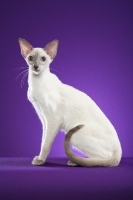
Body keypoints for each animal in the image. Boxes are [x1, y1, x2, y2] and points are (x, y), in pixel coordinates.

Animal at [18, 38, 121, 166]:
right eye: (31, 58)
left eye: (43, 59)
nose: (36, 66)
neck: (36, 82)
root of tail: (119, 151)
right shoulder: (43, 119)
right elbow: (43, 141)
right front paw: (40, 158)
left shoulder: (53, 120)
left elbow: (46, 144)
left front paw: (41, 160)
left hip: (76, 136)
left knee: (103, 160)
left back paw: (76, 161)